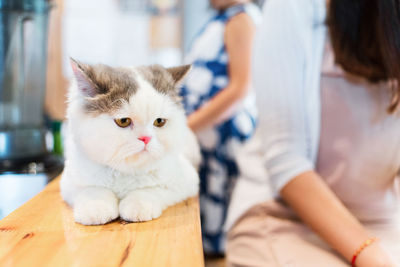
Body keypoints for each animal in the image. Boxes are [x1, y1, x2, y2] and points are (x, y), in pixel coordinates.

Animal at [60, 59, 200, 226]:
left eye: (159, 121)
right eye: (123, 121)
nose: (146, 138)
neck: (125, 174)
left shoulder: (185, 181)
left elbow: (150, 190)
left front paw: (138, 206)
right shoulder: (70, 182)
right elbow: (92, 190)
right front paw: (96, 208)